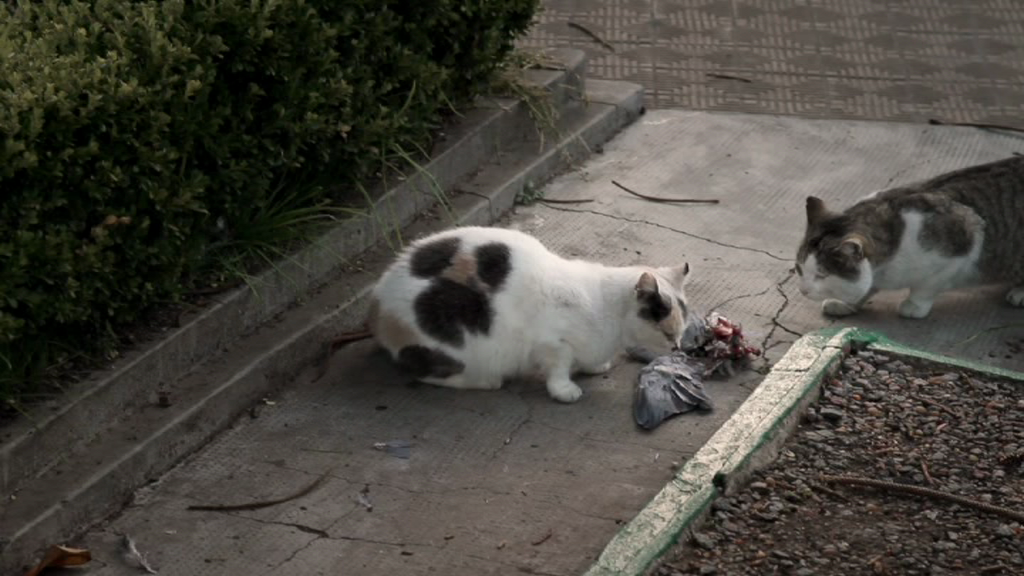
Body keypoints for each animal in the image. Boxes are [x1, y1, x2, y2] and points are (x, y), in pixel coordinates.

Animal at [368, 226, 692, 403]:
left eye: (682, 330)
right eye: (667, 333)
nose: (677, 347)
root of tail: (379, 301)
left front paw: (594, 366)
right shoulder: (552, 343)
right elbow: (559, 367)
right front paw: (565, 390)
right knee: (428, 373)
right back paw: (485, 380)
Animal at [795, 155, 1024, 319]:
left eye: (822, 274)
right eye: (799, 269)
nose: (803, 291)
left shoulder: (963, 242)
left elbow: (926, 287)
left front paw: (914, 305)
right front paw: (846, 303)